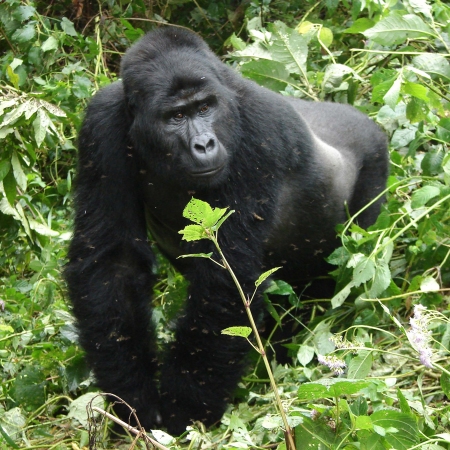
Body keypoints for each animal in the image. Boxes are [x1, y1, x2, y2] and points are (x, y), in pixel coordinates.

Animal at [65, 28, 388, 436]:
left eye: (205, 108)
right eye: (176, 116)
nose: (204, 144)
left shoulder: (259, 133)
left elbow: (225, 282)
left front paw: (185, 410)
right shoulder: (102, 122)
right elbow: (113, 262)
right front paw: (133, 398)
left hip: (373, 165)